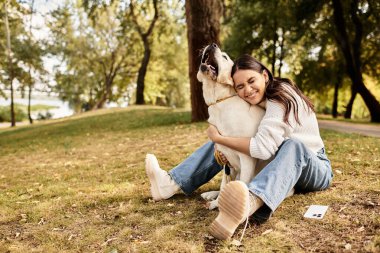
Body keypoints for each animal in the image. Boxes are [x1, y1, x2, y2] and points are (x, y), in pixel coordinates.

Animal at [197, 43, 266, 210]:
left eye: (225, 57)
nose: (212, 44)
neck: (220, 101)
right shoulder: (226, 160)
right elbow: (224, 185)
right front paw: (217, 202)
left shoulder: (247, 158)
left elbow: (243, 184)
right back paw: (211, 195)